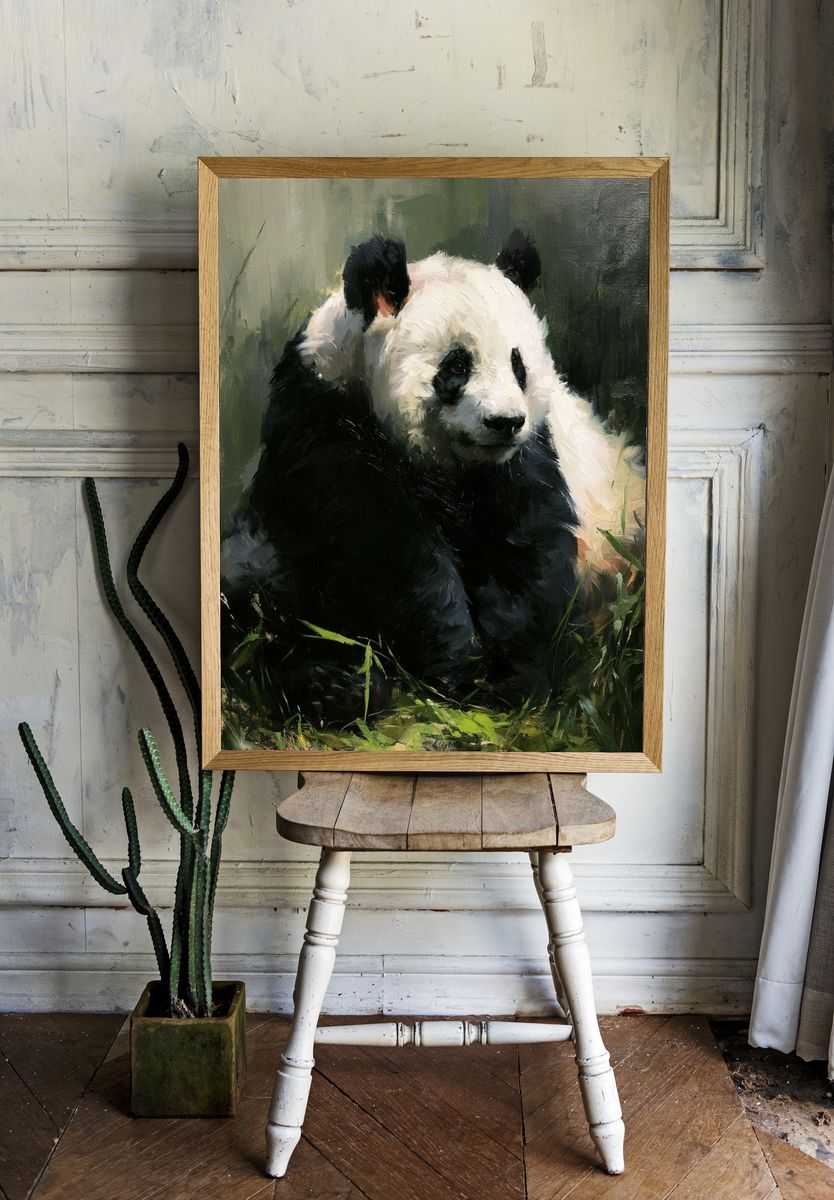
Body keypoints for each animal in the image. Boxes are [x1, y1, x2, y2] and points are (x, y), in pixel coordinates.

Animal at [221, 231, 643, 723]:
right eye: (457, 365)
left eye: (518, 365)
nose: (504, 422)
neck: (449, 466)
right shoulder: (322, 417)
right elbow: (381, 544)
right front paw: (460, 661)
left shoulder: (526, 458)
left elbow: (528, 544)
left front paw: (515, 672)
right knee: (252, 600)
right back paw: (336, 685)